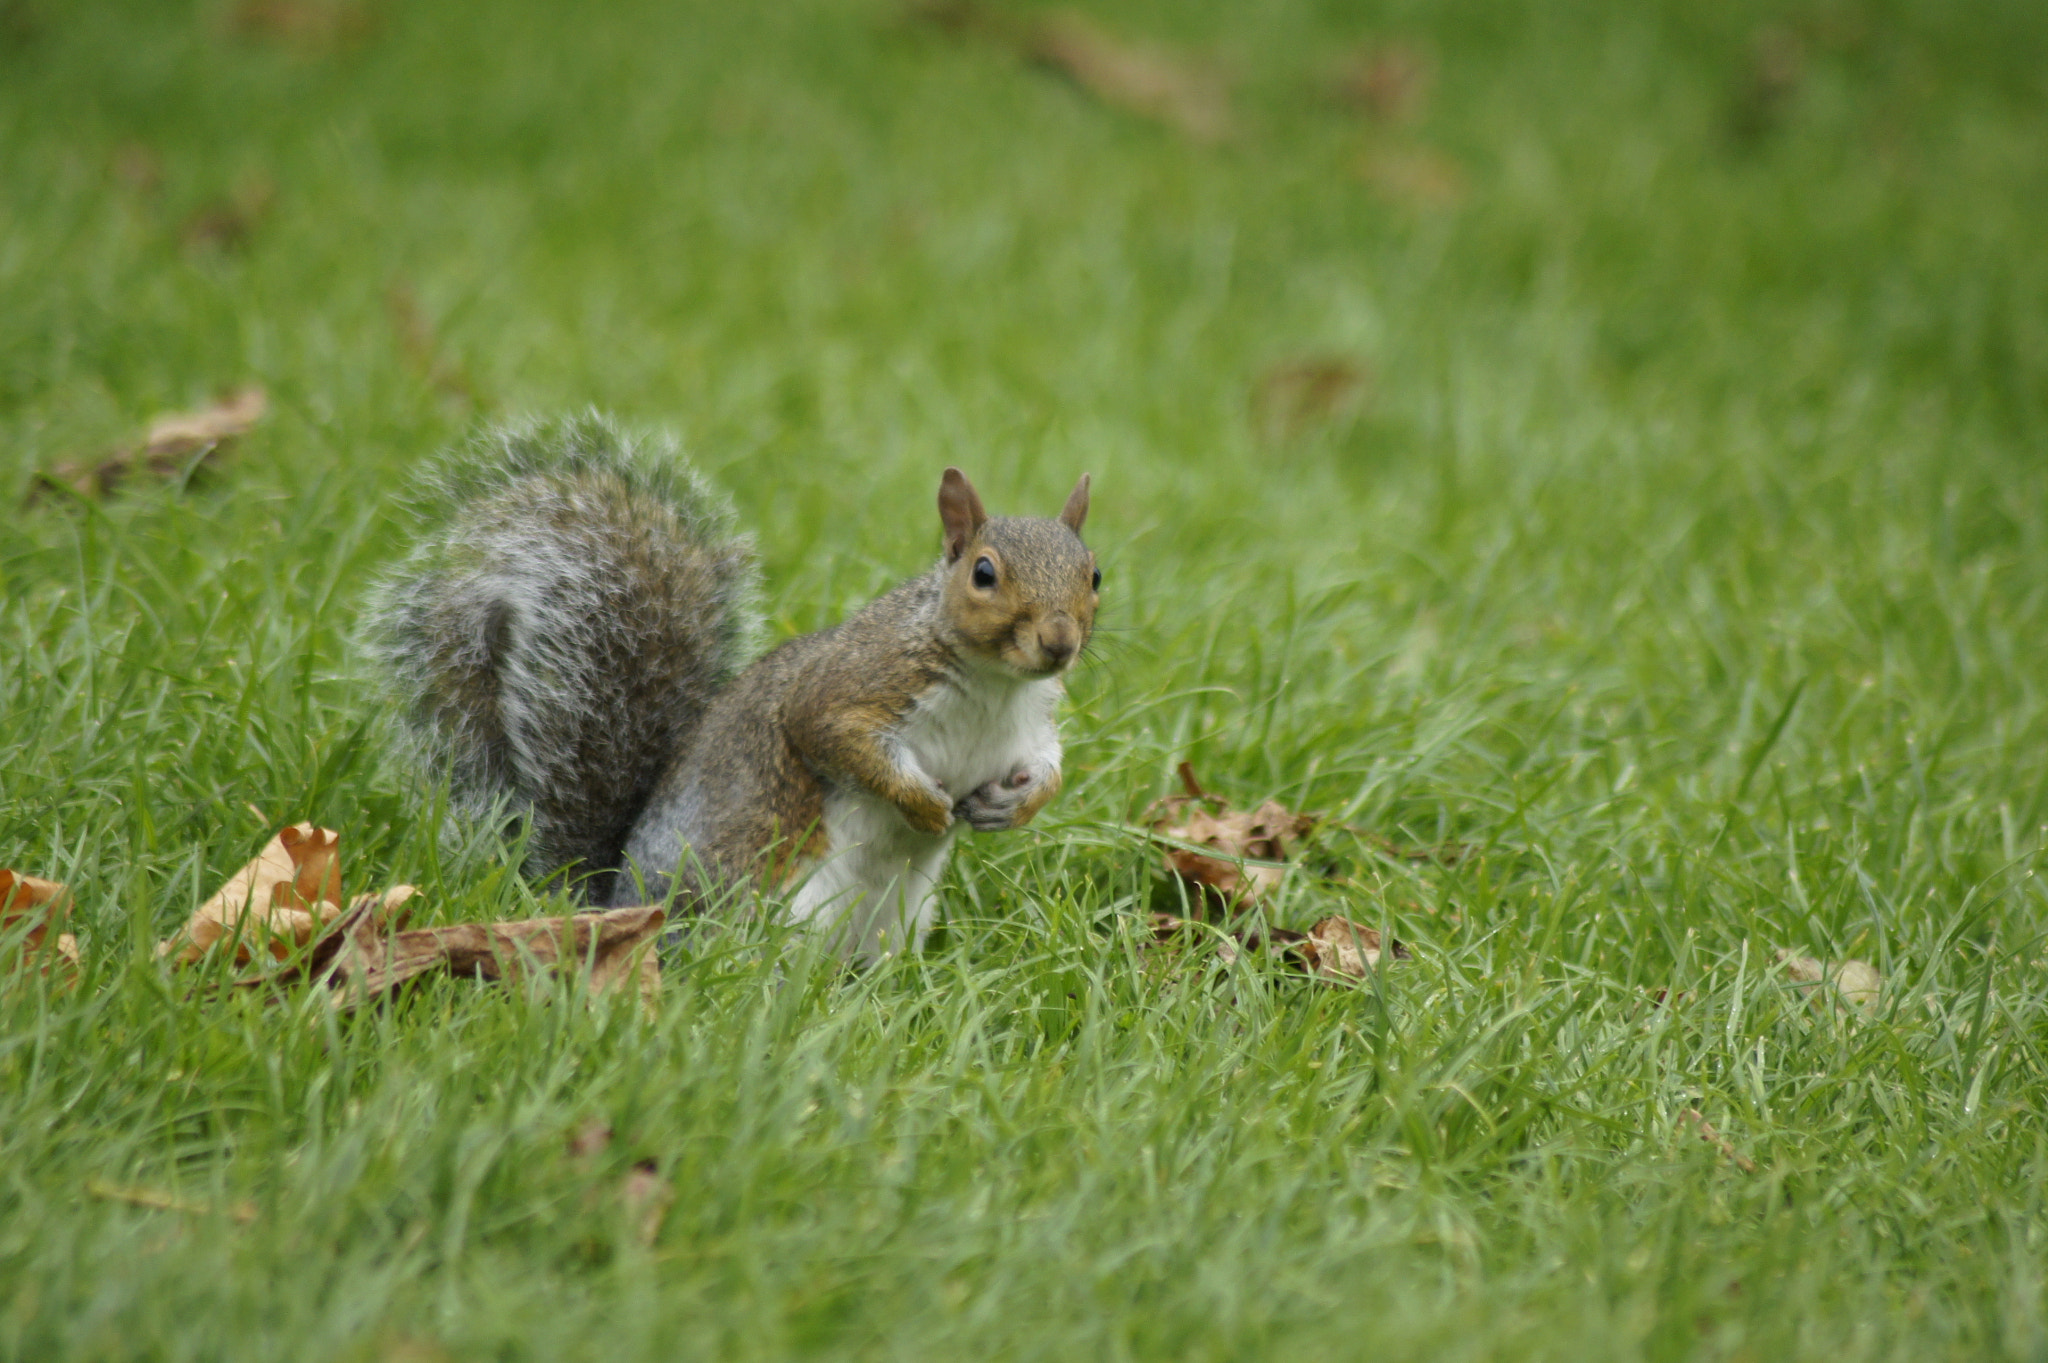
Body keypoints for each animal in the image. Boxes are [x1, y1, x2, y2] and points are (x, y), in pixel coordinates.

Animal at [368, 413, 1105, 953]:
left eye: (1094, 573)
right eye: (983, 573)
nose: (1060, 642)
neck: (995, 683)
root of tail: (617, 902)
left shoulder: (1026, 725)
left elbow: (1047, 764)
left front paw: (1017, 804)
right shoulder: (852, 685)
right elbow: (833, 735)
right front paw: (923, 804)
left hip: (897, 916)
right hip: (783, 902)